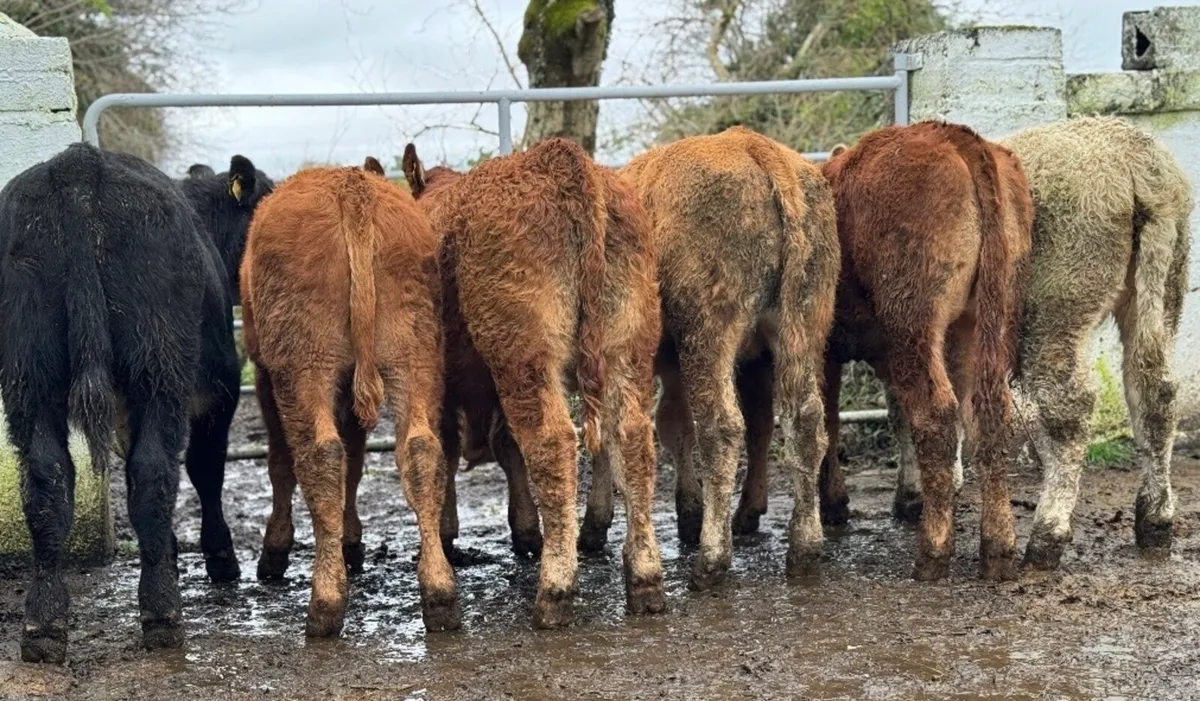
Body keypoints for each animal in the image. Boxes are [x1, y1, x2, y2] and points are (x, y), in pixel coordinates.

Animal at [0, 143, 270, 662]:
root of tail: (77, 166)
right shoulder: (219, 390)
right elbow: (205, 470)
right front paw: (218, 556)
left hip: (28, 370)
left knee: (46, 478)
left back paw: (44, 625)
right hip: (158, 365)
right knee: (153, 473)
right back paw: (162, 614)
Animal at [241, 158, 459, 637]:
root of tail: (351, 188)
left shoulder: (265, 377)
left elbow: (281, 464)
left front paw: (276, 549)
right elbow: (357, 463)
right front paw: (351, 539)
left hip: (303, 369)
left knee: (319, 455)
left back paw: (324, 604)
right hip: (414, 358)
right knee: (420, 450)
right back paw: (440, 594)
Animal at [402, 137, 666, 629]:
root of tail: (560, 161)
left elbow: (449, 450)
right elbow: (504, 447)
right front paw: (524, 530)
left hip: (523, 354)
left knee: (552, 441)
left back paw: (554, 591)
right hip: (628, 342)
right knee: (632, 439)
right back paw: (645, 579)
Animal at [603, 126, 840, 588]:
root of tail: (752, 146)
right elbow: (673, 424)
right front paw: (688, 513)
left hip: (707, 336)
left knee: (722, 428)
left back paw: (711, 560)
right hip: (802, 328)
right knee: (805, 420)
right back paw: (804, 549)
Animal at [818, 121, 1033, 581]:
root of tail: (955, 136)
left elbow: (828, 421)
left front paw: (833, 504)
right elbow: (898, 415)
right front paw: (909, 497)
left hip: (914, 323)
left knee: (936, 414)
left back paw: (933, 553)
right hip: (981, 320)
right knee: (986, 412)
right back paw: (998, 548)